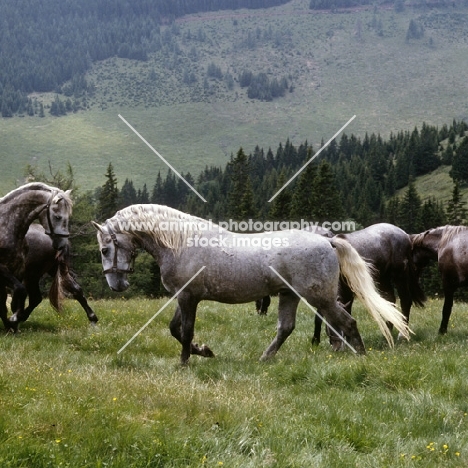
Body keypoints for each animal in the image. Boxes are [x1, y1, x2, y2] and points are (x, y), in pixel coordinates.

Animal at [0, 181, 72, 330]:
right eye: (58, 217)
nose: (62, 244)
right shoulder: (2, 269)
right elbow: (15, 294)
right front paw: (14, 319)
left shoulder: (18, 270)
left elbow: (18, 294)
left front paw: (14, 320)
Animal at [92, 205, 410, 366]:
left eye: (106, 249)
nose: (117, 285)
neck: (181, 242)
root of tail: (328, 241)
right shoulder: (185, 297)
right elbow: (175, 329)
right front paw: (204, 351)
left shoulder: (188, 297)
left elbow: (185, 330)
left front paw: (184, 362)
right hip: (289, 296)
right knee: (286, 328)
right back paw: (265, 357)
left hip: (320, 298)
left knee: (346, 321)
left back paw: (360, 355)